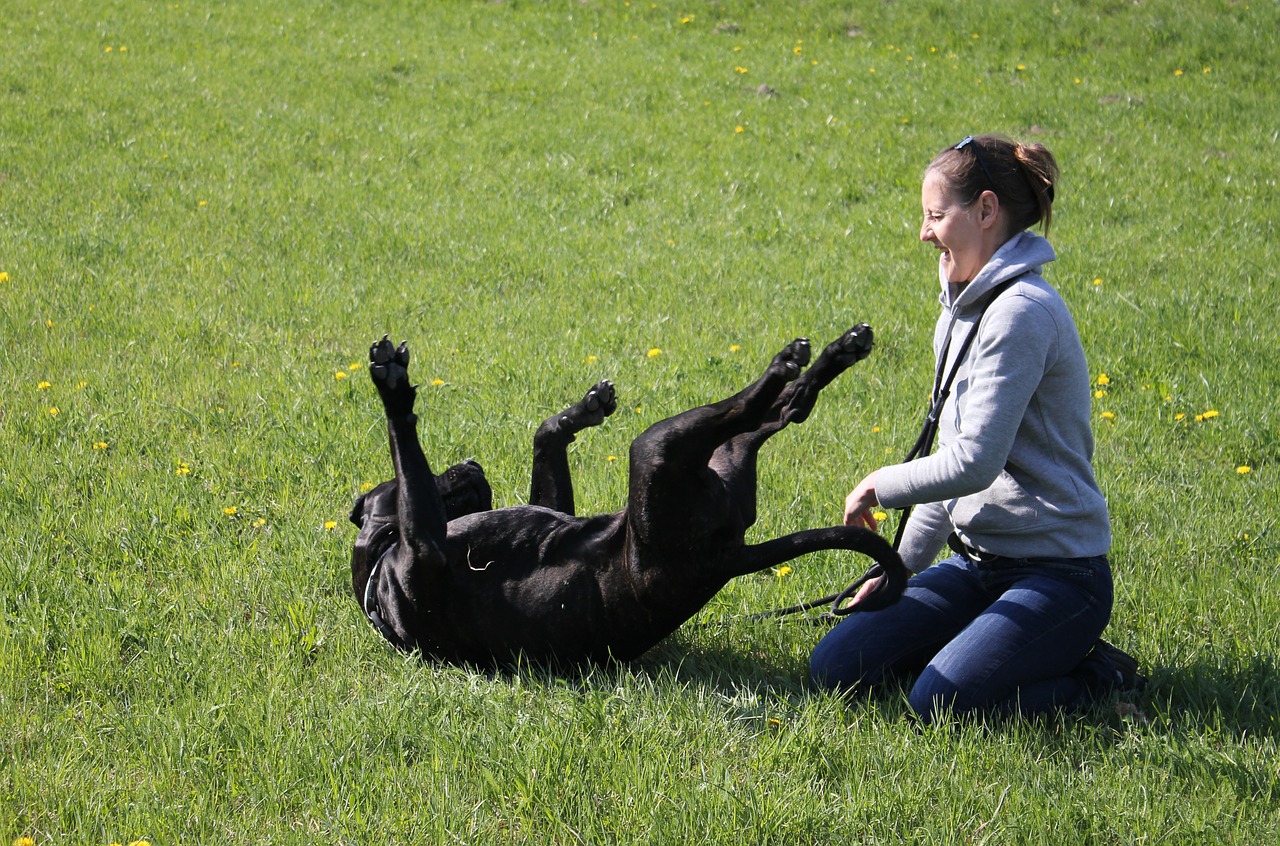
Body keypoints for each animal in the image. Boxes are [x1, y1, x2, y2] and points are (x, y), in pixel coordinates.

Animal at [350, 326, 911, 665]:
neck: (378, 572)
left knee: (783, 410)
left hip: (701, 455)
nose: (471, 465)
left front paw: (580, 412)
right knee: (762, 410)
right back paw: (792, 362)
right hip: (661, 451)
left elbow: (544, 440)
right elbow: (404, 437)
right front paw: (394, 392)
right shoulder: (425, 545)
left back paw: (833, 354)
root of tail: (727, 556)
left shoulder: (548, 506)